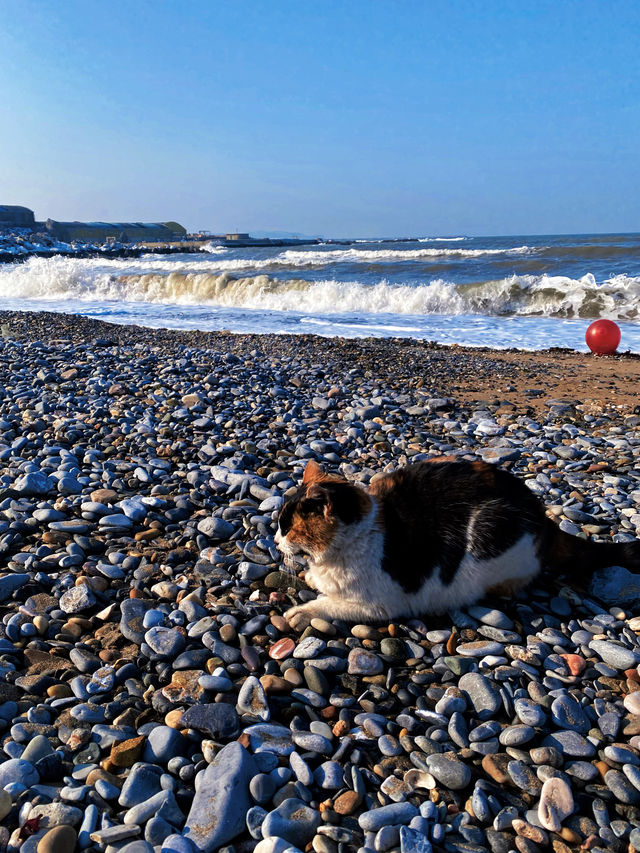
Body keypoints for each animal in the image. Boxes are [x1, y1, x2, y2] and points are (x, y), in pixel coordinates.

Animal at [276, 456, 640, 628]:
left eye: (288, 528)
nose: (276, 540)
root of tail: (542, 515)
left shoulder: (382, 603)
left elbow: (331, 604)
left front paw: (302, 612)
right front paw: (312, 579)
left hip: (491, 533)